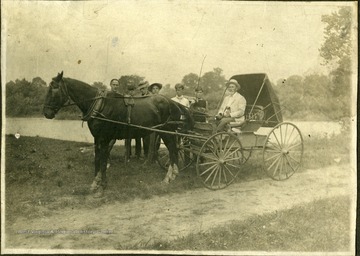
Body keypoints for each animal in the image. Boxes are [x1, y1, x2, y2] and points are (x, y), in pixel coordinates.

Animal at [43, 72, 193, 196]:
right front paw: (95, 183)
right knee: (174, 150)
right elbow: (97, 159)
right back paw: (172, 175)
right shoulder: (97, 138)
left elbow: (103, 160)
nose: (46, 113)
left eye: (54, 89)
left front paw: (102, 186)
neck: (100, 104)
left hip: (167, 132)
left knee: (173, 150)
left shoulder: (105, 138)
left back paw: (168, 177)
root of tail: (172, 102)